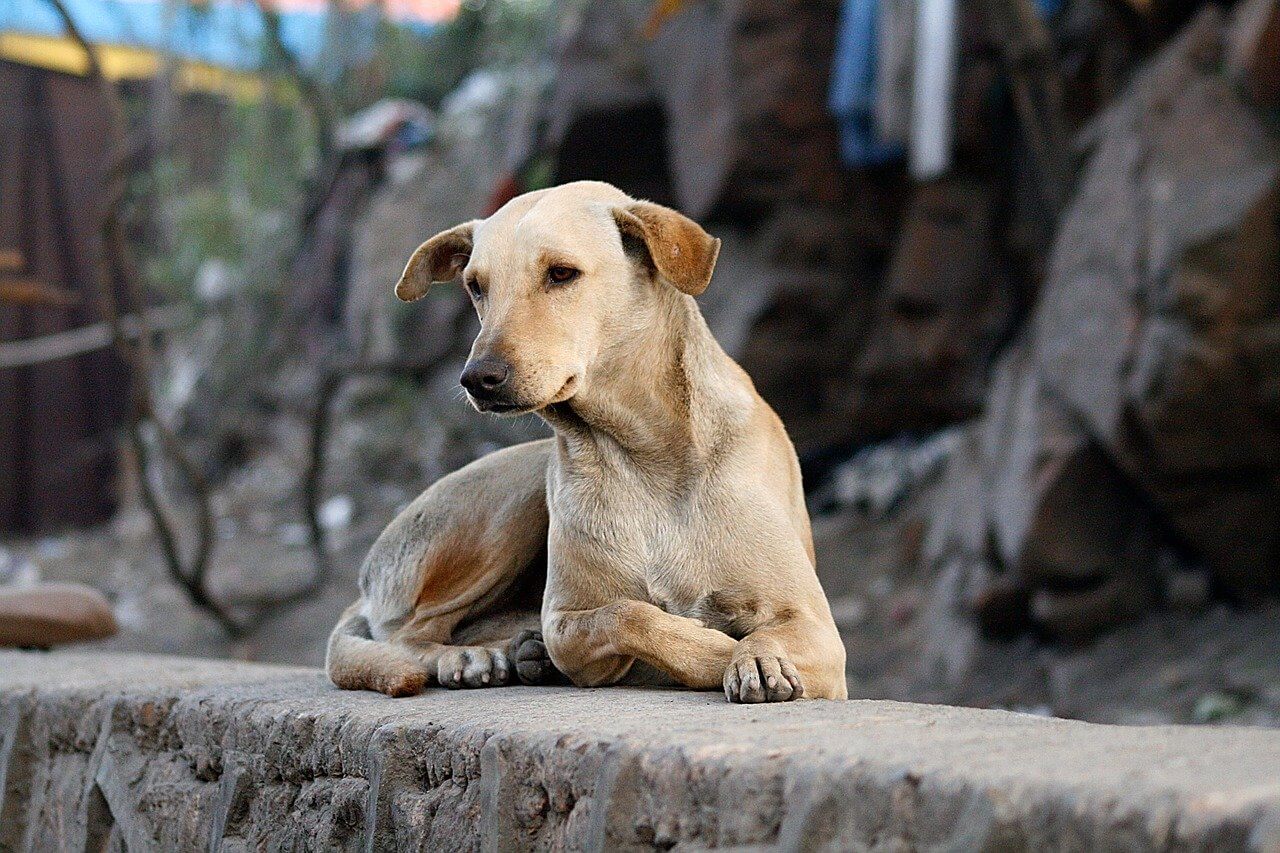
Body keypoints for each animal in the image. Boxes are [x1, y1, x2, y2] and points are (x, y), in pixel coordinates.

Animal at [325, 178, 844, 696]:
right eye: (476, 287)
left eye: (561, 274)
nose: (477, 378)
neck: (642, 453)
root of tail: (363, 586)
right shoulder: (565, 622)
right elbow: (626, 615)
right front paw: (712, 651)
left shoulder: (816, 628)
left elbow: (764, 635)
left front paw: (758, 657)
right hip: (509, 502)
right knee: (409, 633)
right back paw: (474, 656)